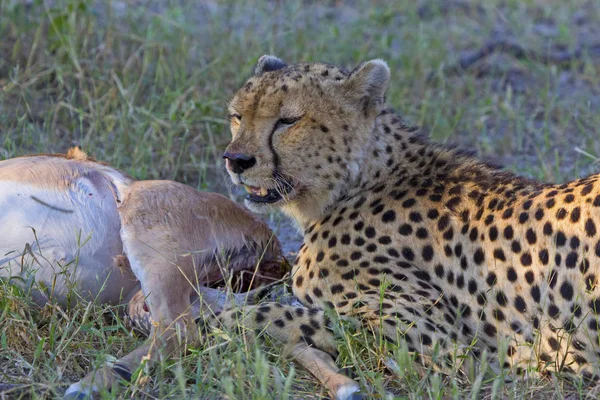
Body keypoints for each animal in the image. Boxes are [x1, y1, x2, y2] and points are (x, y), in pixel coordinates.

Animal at [218, 56, 600, 400]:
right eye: (237, 116)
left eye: (288, 121)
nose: (236, 160)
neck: (357, 181)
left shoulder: (448, 348)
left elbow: (287, 315)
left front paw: (220, 317)